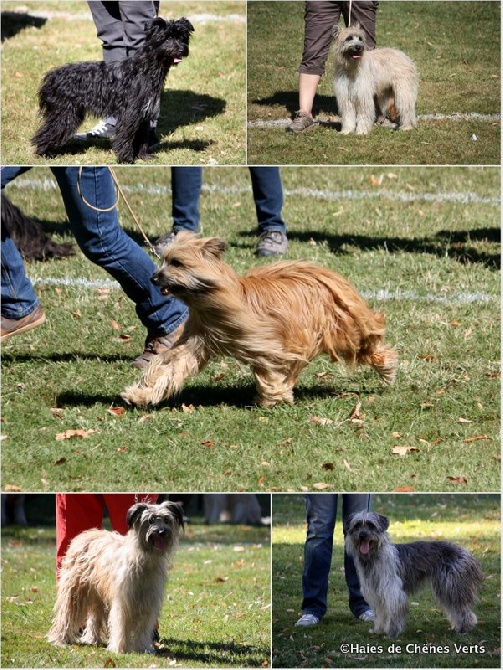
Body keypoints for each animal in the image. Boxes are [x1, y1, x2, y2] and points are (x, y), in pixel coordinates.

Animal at [31, 16, 193, 164]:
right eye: (167, 38)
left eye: (182, 37)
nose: (182, 49)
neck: (146, 68)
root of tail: (51, 76)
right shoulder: (130, 114)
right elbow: (125, 137)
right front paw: (126, 159)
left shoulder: (143, 114)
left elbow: (142, 137)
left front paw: (143, 156)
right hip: (65, 114)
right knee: (46, 132)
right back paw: (45, 153)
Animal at [46, 504, 185, 656]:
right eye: (151, 520)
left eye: (166, 520)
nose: (162, 532)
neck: (144, 560)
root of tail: (84, 535)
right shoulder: (124, 602)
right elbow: (121, 625)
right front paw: (120, 649)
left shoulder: (147, 603)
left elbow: (143, 627)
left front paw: (143, 648)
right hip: (74, 591)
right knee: (66, 614)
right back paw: (60, 639)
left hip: (97, 594)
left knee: (94, 617)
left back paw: (93, 639)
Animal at [122, 234, 398, 406]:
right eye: (164, 260)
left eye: (177, 263)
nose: (154, 278)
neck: (212, 303)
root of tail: (330, 276)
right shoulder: (196, 341)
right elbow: (171, 368)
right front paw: (139, 395)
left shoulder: (266, 343)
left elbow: (270, 370)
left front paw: (272, 398)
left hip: (342, 329)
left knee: (370, 346)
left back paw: (387, 367)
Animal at [344, 516, 482, 640]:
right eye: (357, 526)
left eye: (371, 525)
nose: (362, 535)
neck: (374, 557)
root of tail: (467, 553)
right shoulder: (376, 593)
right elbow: (380, 614)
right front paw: (378, 630)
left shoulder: (393, 593)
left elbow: (393, 614)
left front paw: (392, 633)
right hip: (445, 589)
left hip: (451, 588)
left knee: (463, 611)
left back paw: (463, 629)